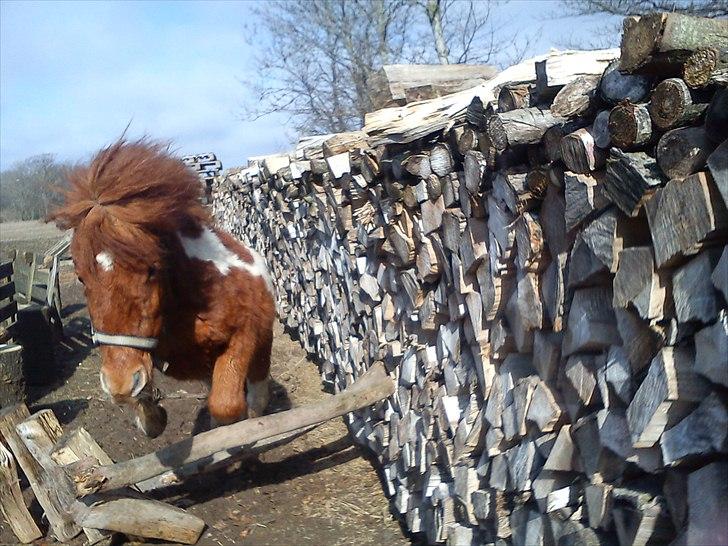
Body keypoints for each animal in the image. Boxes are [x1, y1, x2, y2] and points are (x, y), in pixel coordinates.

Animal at [50, 138, 276, 437]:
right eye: (80, 278)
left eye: (152, 270)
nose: (119, 384)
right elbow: (151, 417)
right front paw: (151, 412)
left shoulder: (243, 337)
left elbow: (226, 405)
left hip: (261, 350)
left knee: (257, 395)